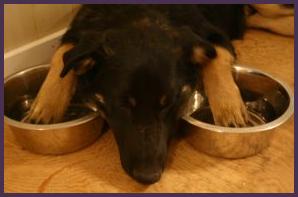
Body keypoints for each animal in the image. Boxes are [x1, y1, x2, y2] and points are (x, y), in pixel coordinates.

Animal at [24, 4, 294, 183]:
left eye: (169, 103)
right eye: (122, 105)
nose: (148, 177)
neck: (139, 12)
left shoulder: (213, 36)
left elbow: (216, 58)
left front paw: (229, 108)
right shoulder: (79, 31)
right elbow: (61, 55)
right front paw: (45, 106)